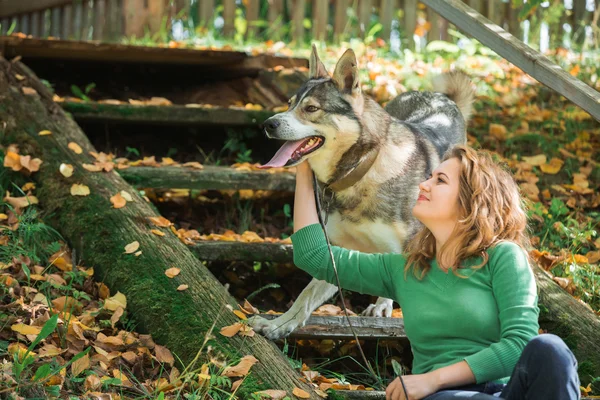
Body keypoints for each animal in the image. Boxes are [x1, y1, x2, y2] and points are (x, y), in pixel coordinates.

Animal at [248, 45, 474, 340]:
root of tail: (440, 97)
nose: (268, 124)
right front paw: (278, 324)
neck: (361, 171)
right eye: (289, 104)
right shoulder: (335, 254)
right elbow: (305, 295)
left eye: (311, 108)